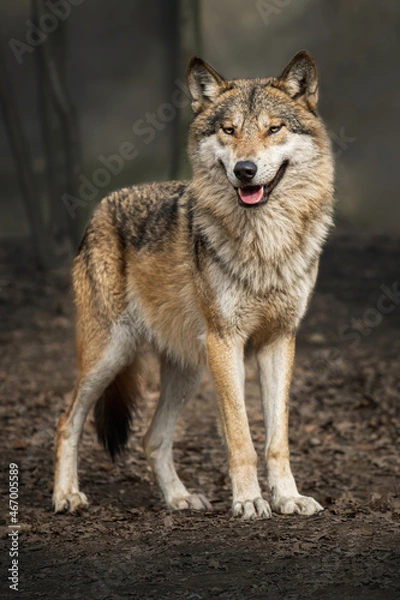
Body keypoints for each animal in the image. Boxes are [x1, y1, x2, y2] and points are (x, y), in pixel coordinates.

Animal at [54, 51, 334, 520]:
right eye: (229, 130)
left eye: (273, 128)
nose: (245, 170)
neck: (265, 245)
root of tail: (101, 206)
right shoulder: (226, 341)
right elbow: (240, 437)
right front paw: (249, 500)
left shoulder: (279, 340)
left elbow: (276, 440)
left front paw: (288, 498)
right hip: (111, 353)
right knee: (66, 421)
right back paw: (66, 495)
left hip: (188, 369)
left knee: (151, 438)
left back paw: (179, 498)